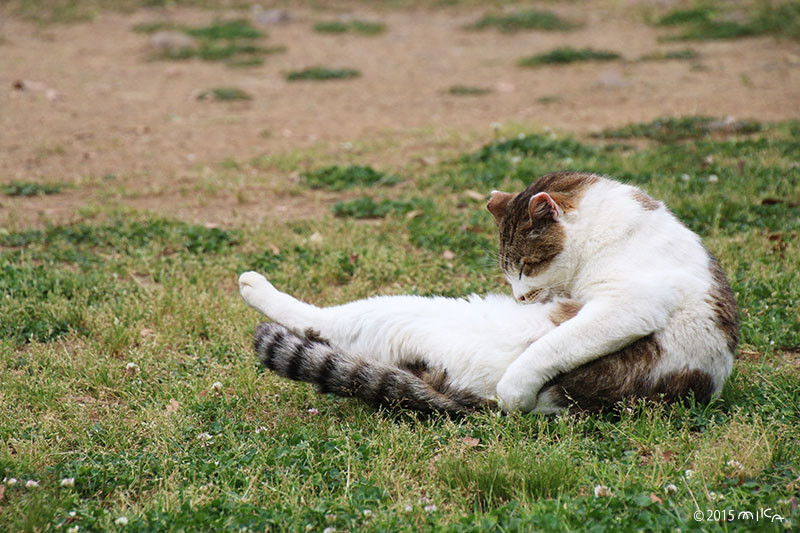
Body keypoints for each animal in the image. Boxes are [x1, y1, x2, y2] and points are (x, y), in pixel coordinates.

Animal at [238, 170, 736, 412]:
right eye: (508, 271)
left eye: (526, 266)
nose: (518, 297)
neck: (613, 229)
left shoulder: (630, 304)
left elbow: (553, 348)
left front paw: (515, 394)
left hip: (408, 312)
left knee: (322, 322)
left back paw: (253, 285)